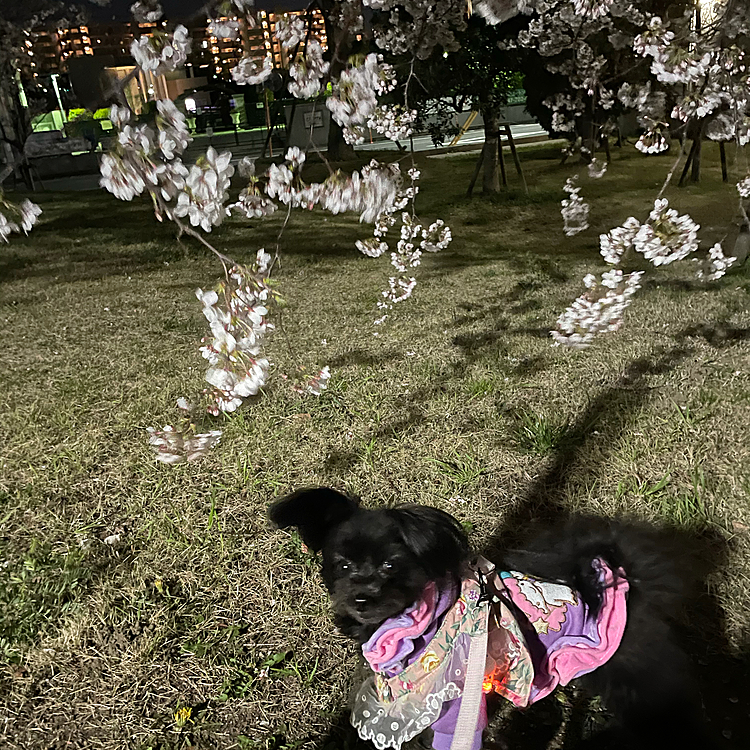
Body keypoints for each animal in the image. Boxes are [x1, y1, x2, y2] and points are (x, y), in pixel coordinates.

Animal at [268, 490, 712, 748]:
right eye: (341, 565)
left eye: (390, 565)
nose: (361, 596)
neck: (415, 624)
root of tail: (622, 574)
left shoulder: (450, 705)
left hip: (638, 676)